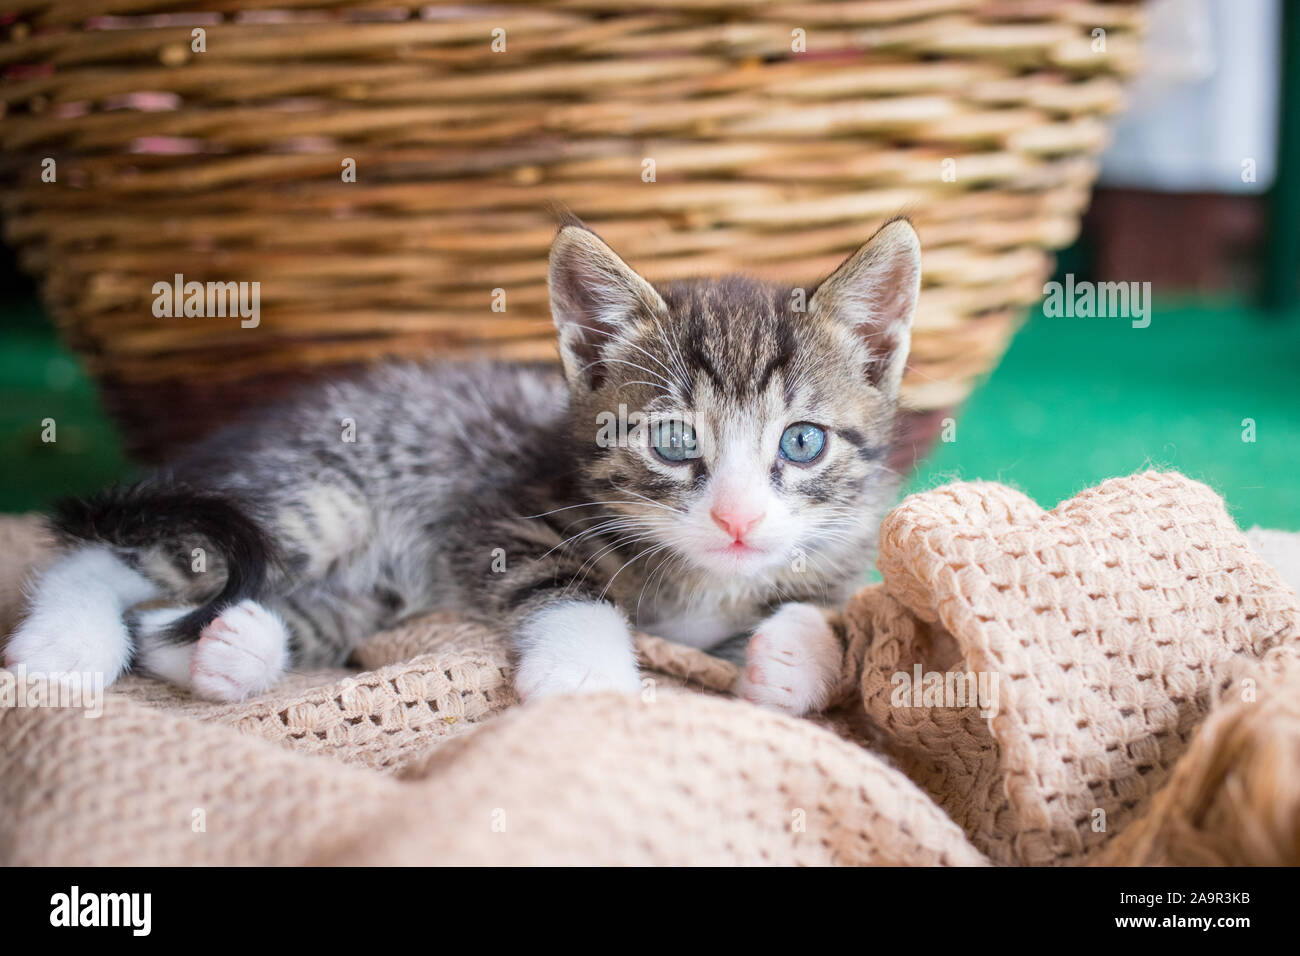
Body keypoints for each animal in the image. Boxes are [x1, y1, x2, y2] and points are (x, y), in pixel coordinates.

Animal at [2, 214, 925, 712]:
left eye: (801, 442)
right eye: (672, 442)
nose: (736, 519)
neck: (704, 581)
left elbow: (833, 609)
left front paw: (795, 655)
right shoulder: (506, 518)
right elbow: (566, 585)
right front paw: (587, 669)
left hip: (366, 588)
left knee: (184, 615)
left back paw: (224, 651)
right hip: (314, 499)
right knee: (109, 557)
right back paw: (63, 648)